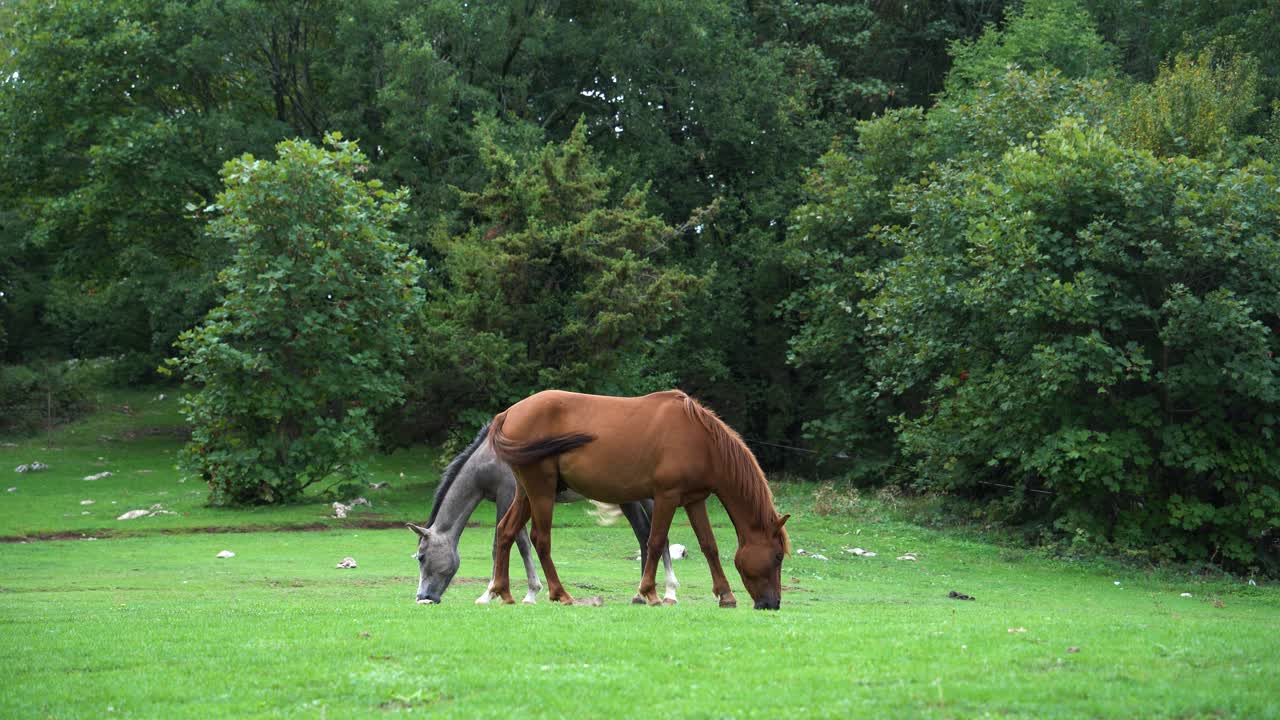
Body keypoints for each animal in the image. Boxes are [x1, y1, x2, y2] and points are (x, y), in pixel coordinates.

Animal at [406, 423, 679, 605]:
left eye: (421, 557)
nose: (423, 597)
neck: (490, 458)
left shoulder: (508, 497)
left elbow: (508, 544)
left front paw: (497, 594)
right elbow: (520, 543)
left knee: (656, 536)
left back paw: (666, 592)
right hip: (629, 498)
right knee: (645, 535)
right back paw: (641, 594)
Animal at [486, 389, 790, 610]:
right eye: (777, 556)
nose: (773, 603)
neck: (701, 441)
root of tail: (509, 413)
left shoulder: (694, 501)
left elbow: (709, 546)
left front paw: (725, 595)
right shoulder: (667, 496)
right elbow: (655, 541)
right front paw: (650, 593)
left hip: (527, 493)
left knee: (506, 531)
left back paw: (501, 591)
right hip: (542, 491)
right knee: (541, 539)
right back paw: (561, 593)